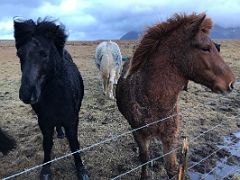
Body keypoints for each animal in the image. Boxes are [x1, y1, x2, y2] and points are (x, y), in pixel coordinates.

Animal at [13, 18, 88, 180]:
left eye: (44, 53)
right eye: (19, 53)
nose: (26, 93)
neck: (56, 97)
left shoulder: (72, 121)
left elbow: (74, 144)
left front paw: (81, 170)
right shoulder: (44, 122)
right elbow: (47, 145)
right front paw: (45, 170)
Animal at [115, 12, 235, 179]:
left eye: (217, 47)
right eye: (205, 48)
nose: (231, 83)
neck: (155, 102)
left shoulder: (170, 137)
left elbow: (171, 169)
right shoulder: (139, 133)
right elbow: (144, 158)